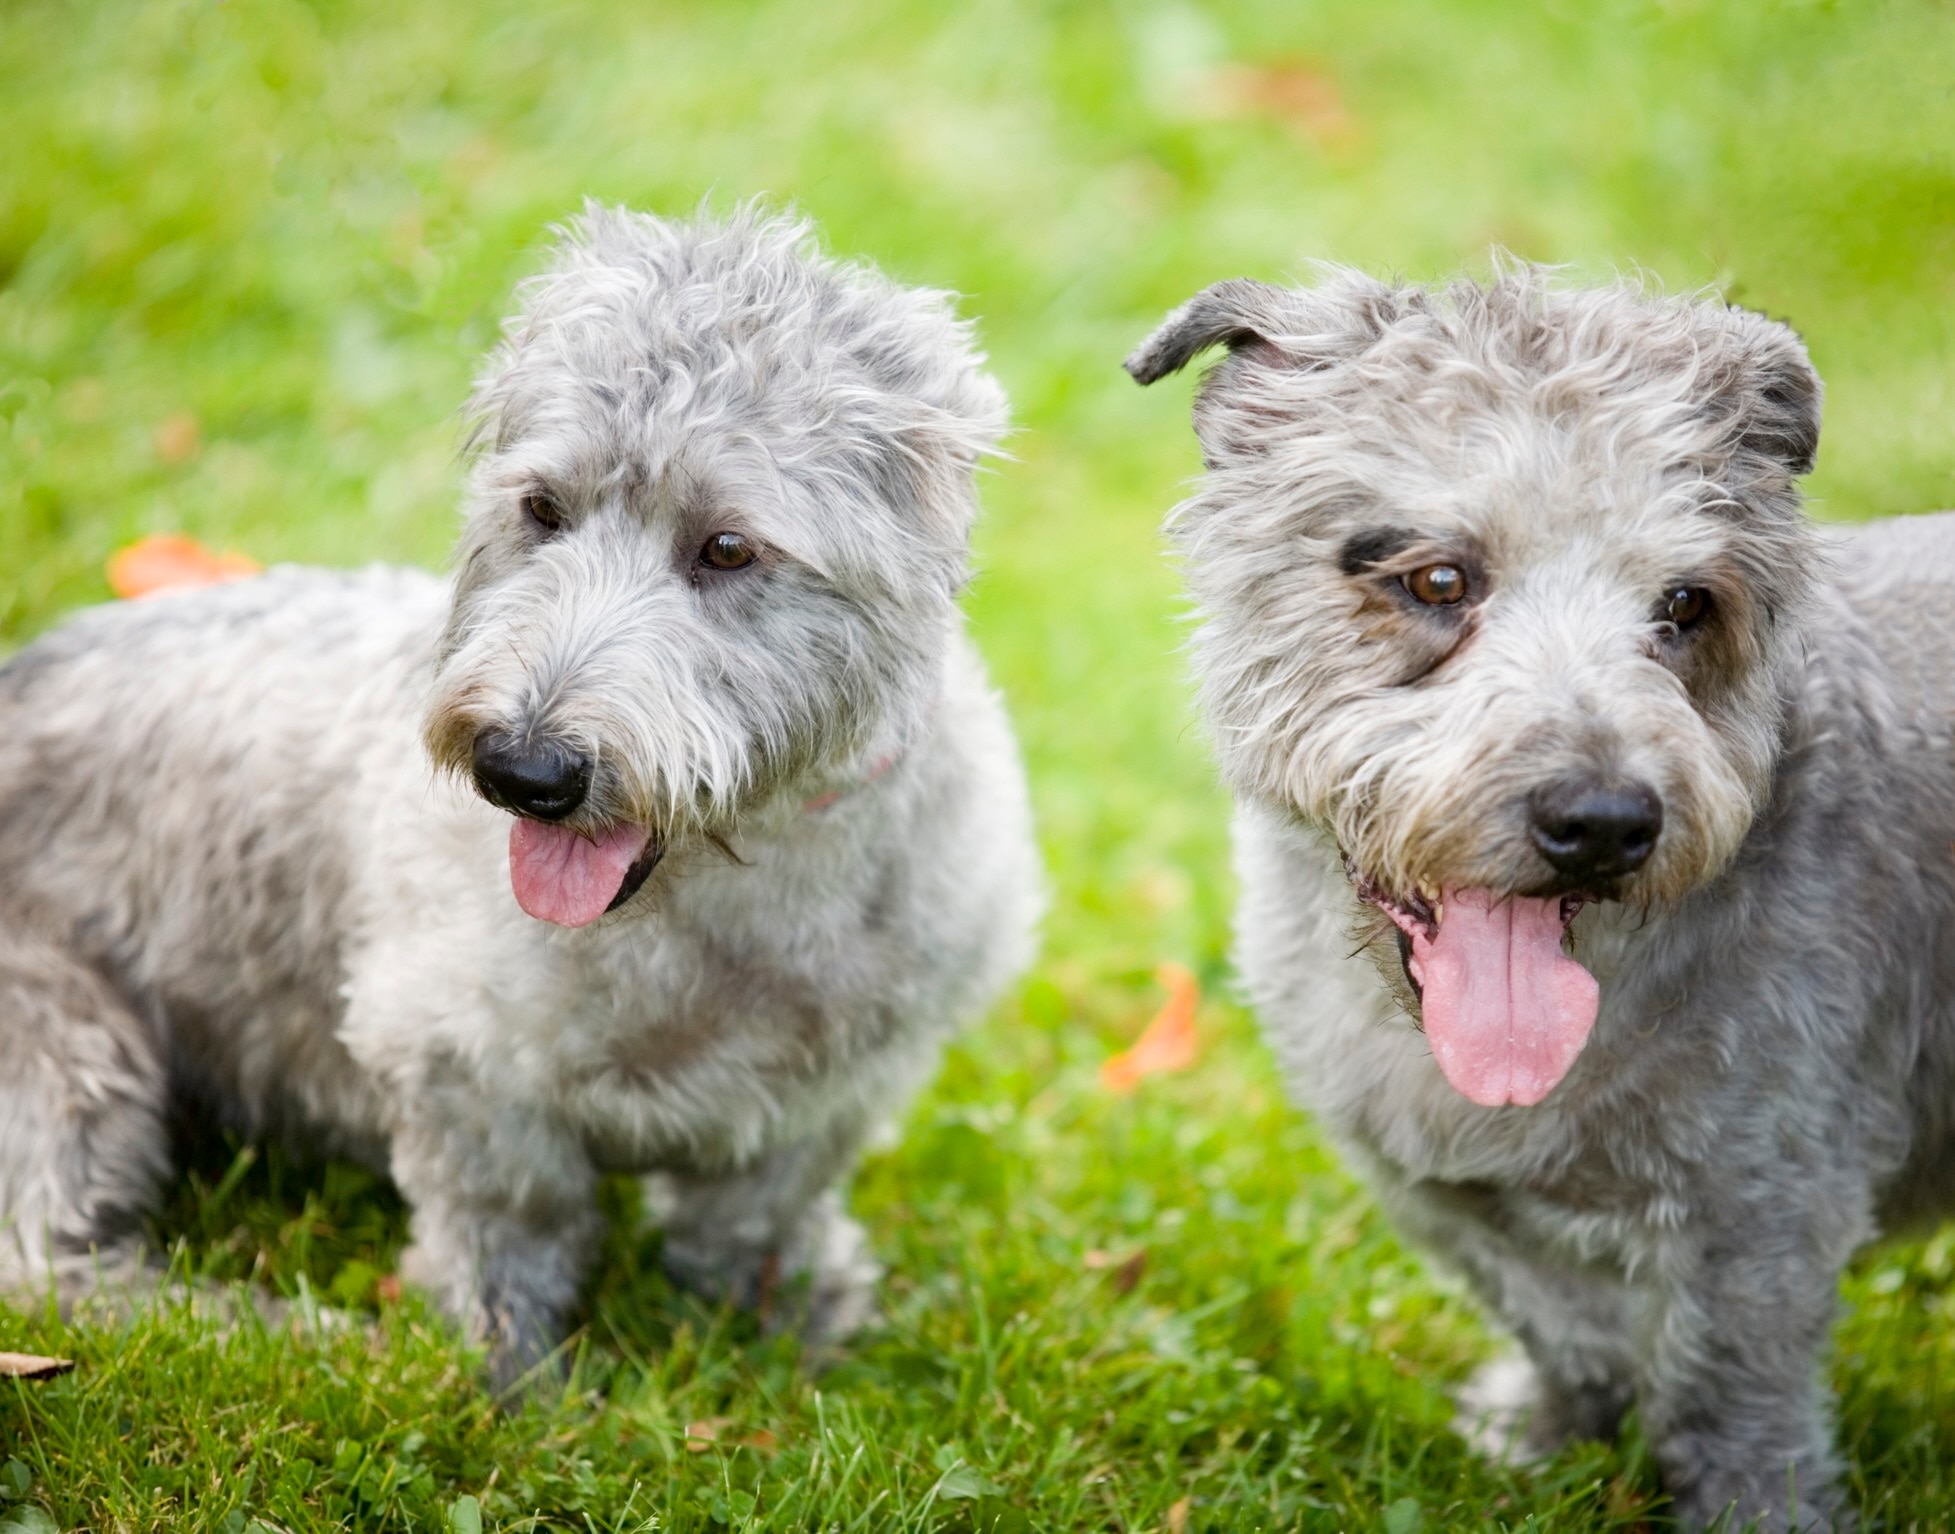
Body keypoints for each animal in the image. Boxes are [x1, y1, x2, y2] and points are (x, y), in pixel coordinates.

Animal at [0, 206, 1047, 1391]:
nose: (522, 771)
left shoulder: (841, 1083)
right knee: (51, 1265)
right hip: (67, 1039)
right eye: (542, 508)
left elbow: (758, 1208)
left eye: (729, 546)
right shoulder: (453, 1061)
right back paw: (278, 1331)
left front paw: (786, 1318)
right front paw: (509, 1375)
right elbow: (516, 1221)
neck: (734, 888)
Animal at [1133, 269, 1955, 1524]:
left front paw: (1755, 1506)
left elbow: (1729, 1391)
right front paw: (1544, 1439)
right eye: (1435, 578)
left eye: (1684, 604)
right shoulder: (1448, 1195)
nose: (1604, 822)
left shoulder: (1765, 1212)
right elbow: (1564, 1327)